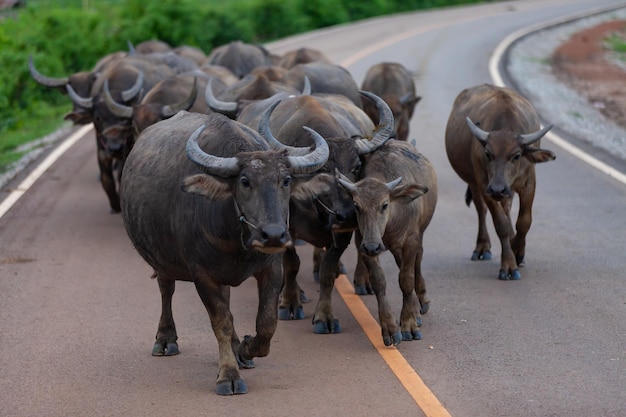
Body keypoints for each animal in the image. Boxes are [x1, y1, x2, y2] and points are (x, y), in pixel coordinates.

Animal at [119, 109, 330, 394]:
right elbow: (221, 322)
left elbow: (267, 322)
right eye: (244, 181)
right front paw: (228, 375)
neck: (235, 240)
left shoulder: (271, 267)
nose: (274, 234)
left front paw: (246, 348)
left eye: (286, 180)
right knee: (166, 290)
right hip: (162, 260)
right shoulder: (203, 276)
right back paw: (165, 339)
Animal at [247, 92, 390, 334]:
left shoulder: (341, 234)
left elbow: (327, 273)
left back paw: (363, 282)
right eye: (323, 170)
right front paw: (290, 303)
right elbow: (292, 264)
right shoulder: (285, 230)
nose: (348, 215)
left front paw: (325, 316)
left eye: (356, 166)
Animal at [336, 140, 434, 344]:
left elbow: (406, 279)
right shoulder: (363, 243)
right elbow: (379, 281)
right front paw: (390, 328)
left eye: (384, 204)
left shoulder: (411, 242)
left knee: (417, 264)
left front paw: (409, 324)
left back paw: (421, 303)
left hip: (418, 237)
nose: (373, 246)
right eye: (356, 205)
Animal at [444, 83, 552, 280]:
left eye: (516, 155)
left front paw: (518, 252)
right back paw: (482, 248)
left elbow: (524, 221)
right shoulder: (484, 185)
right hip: (475, 184)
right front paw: (509, 264)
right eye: (488, 154)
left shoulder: (528, 184)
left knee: (508, 209)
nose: (497, 189)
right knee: (482, 210)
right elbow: (501, 224)